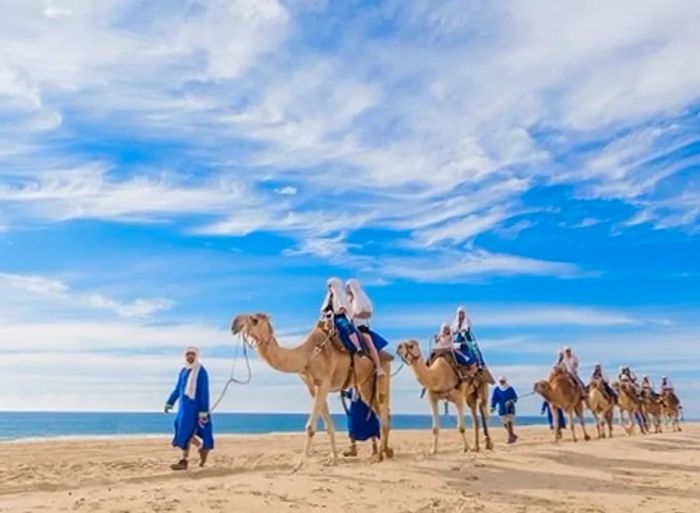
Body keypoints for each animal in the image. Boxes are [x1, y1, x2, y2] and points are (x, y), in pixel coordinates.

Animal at [231, 312, 392, 468]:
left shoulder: (324, 383)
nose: (234, 324)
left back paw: (379, 456)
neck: (307, 355)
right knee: (383, 412)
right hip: (364, 384)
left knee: (383, 412)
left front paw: (300, 464)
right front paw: (333, 459)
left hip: (382, 374)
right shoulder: (313, 386)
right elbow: (328, 425)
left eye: (254, 319)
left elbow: (310, 427)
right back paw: (387, 451)